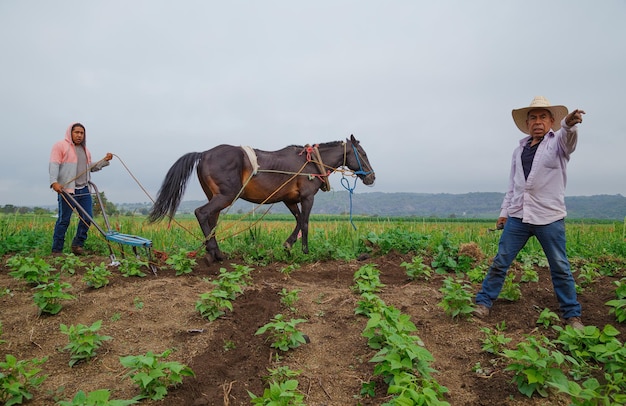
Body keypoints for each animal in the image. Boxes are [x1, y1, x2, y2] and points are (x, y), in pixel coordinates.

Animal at [149, 135, 372, 264]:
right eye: (362, 153)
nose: (372, 177)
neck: (311, 163)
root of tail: (203, 154)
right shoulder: (307, 197)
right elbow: (306, 223)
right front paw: (305, 251)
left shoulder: (289, 199)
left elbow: (299, 221)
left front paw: (288, 245)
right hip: (227, 195)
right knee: (202, 213)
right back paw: (213, 252)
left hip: (216, 195)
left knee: (211, 219)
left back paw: (215, 253)